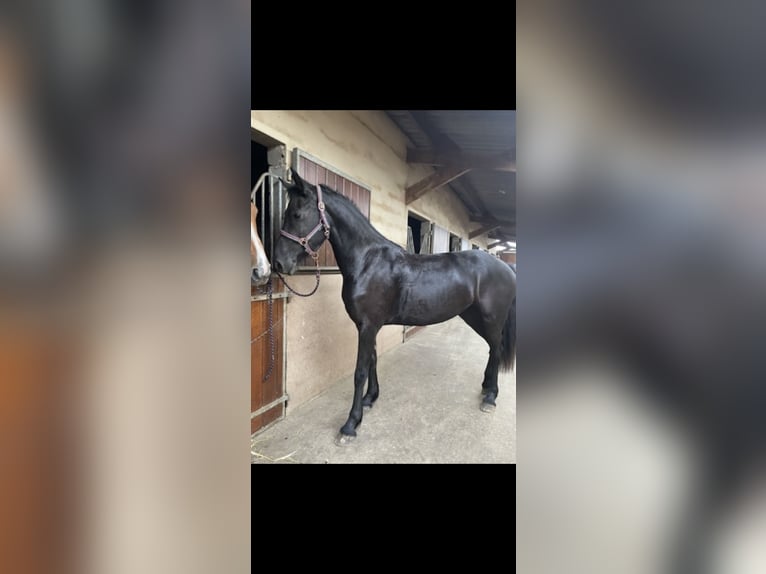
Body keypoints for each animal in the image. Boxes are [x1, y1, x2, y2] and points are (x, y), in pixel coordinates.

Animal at [273, 171, 516, 444]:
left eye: (296, 214)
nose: (279, 262)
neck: (368, 262)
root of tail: (506, 267)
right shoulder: (367, 325)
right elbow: (373, 360)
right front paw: (370, 399)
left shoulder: (368, 326)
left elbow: (360, 371)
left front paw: (350, 424)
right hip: (473, 316)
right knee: (492, 349)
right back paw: (486, 387)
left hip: (491, 318)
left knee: (496, 348)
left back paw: (491, 396)